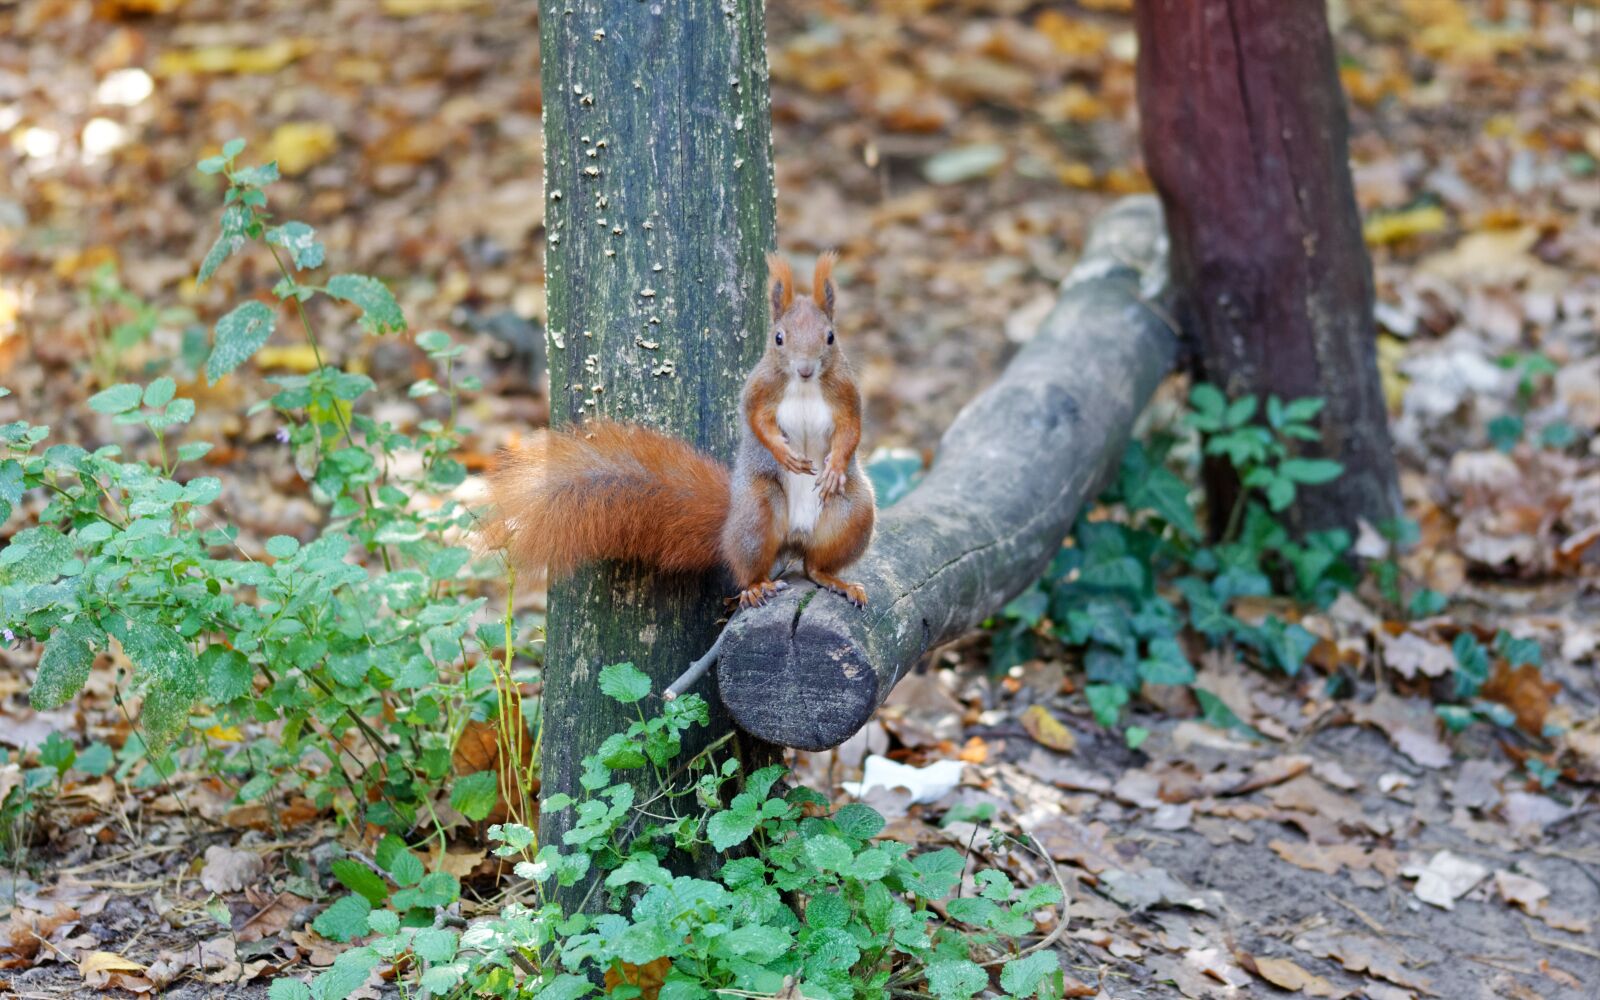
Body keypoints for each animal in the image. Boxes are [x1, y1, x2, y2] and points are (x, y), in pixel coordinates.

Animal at [482, 251, 875, 610]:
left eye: (830, 337)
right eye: (779, 338)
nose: (806, 369)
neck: (805, 386)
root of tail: (792, 536)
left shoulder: (846, 394)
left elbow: (851, 429)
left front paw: (834, 467)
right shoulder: (758, 390)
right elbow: (756, 421)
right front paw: (784, 453)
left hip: (852, 513)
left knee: (813, 566)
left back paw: (837, 581)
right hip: (757, 513)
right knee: (751, 566)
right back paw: (756, 588)